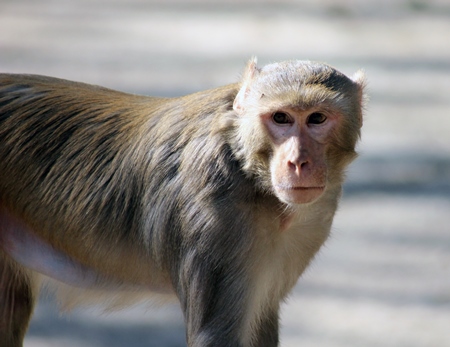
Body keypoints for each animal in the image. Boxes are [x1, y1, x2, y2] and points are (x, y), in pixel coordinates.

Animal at [0, 58, 366, 346]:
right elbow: (215, 335)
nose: (298, 162)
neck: (248, 170)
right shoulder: (215, 221)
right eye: (281, 118)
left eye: (317, 118)